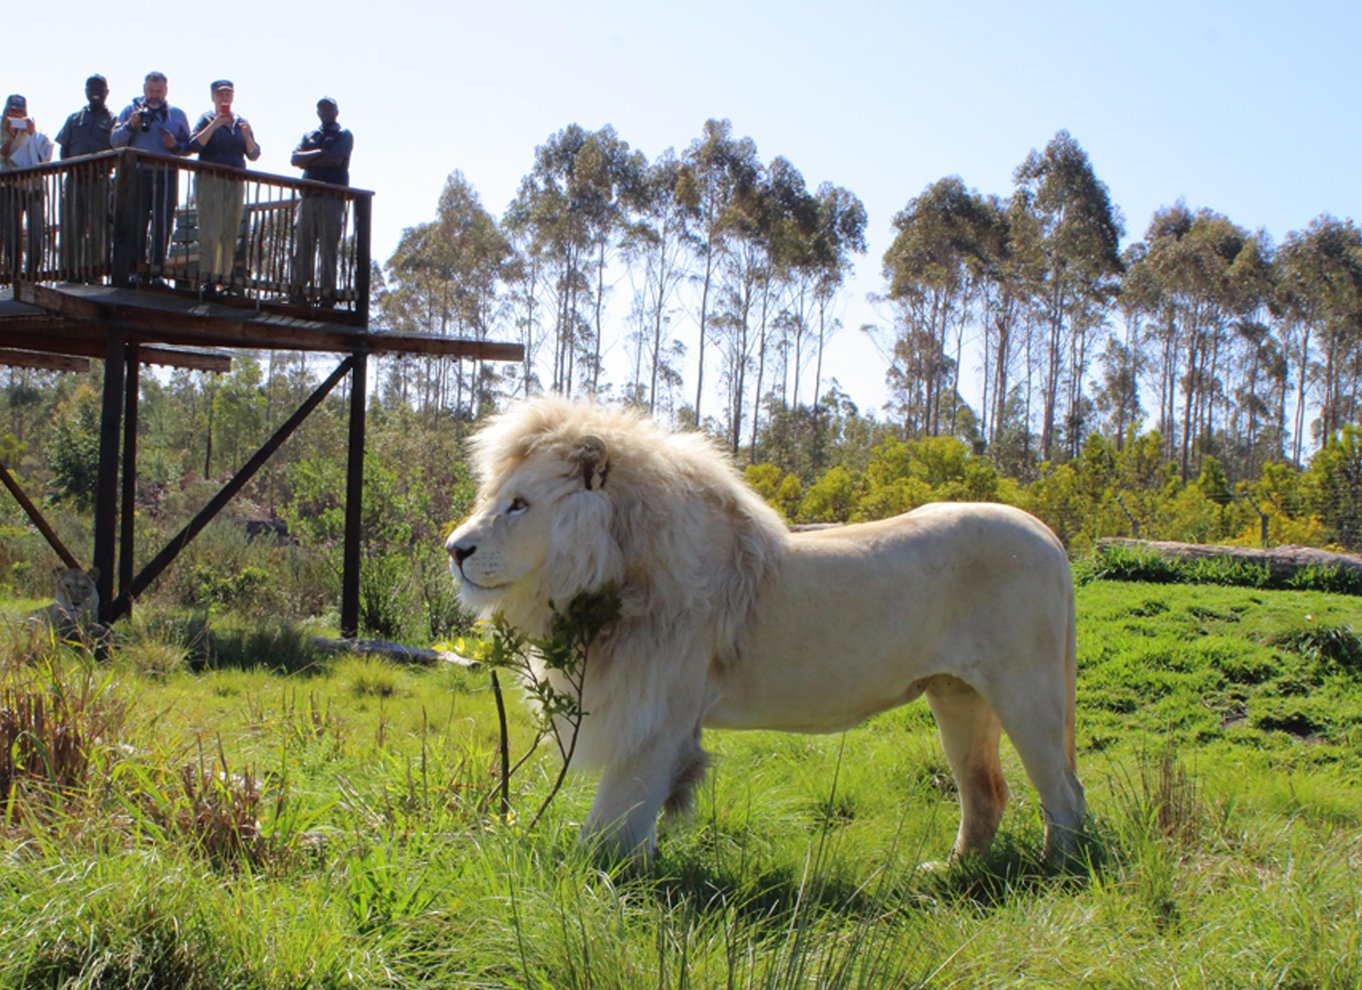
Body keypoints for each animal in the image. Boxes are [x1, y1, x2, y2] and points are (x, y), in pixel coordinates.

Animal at [446, 397, 1084, 866]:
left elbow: (613, 822)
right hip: (958, 694)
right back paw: (951, 872)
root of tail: (1048, 536)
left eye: (519, 505)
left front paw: (590, 883)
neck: (617, 567)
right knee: (986, 792)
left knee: (1065, 791)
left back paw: (1058, 870)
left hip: (1027, 689)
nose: (454, 550)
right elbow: (630, 821)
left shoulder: (655, 717)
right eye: (494, 499)